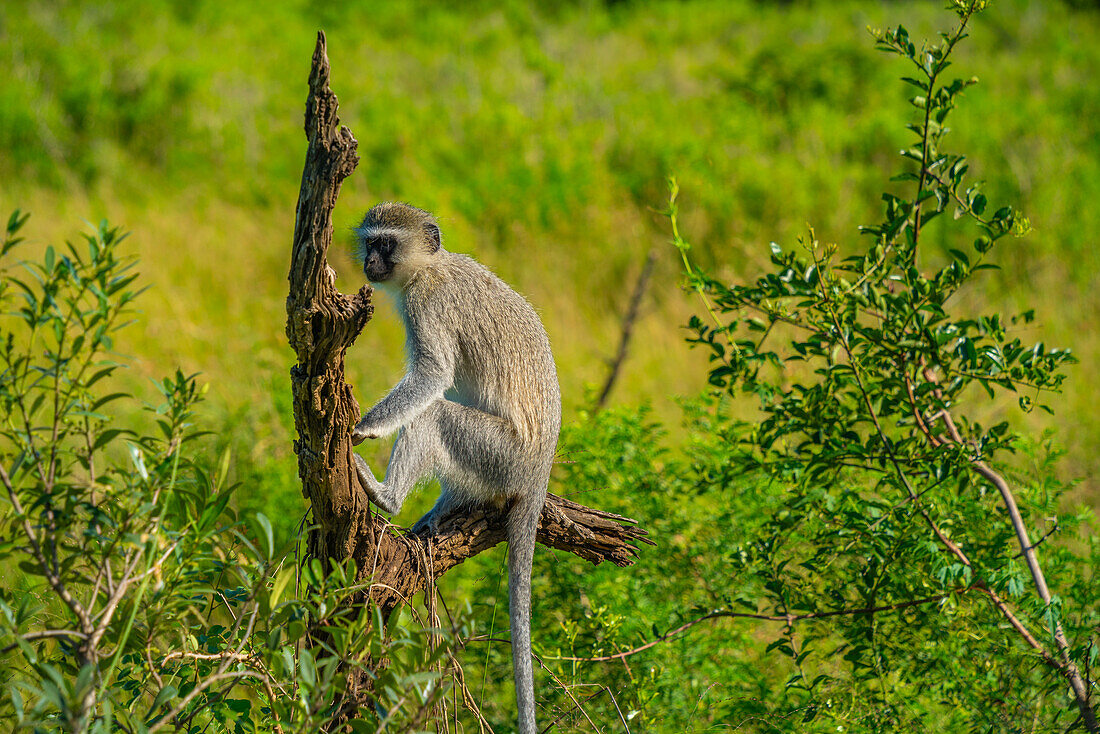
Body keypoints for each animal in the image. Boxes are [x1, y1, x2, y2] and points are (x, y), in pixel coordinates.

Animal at [349, 201, 558, 734]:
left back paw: (387, 498)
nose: (370, 263)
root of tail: (538, 474)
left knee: (435, 414)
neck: (431, 267)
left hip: (500, 454)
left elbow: (433, 375)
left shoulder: (427, 304)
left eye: (387, 243)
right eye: (369, 241)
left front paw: (363, 429)